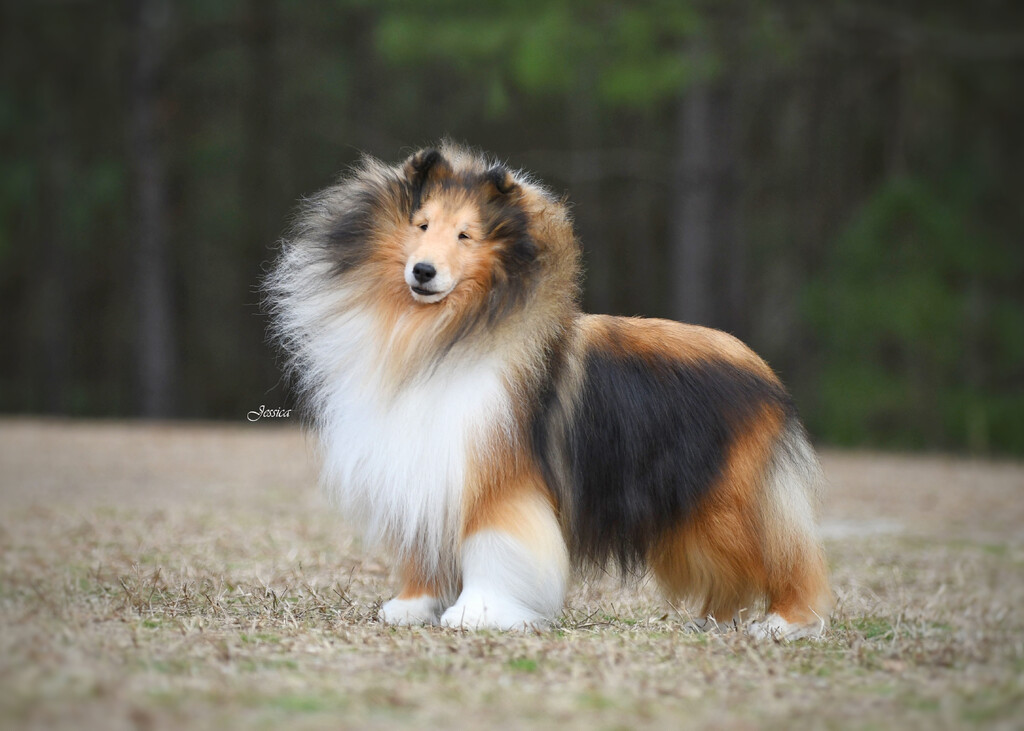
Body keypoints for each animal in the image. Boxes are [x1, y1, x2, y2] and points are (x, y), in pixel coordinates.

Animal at [266, 141, 832, 638]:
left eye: (466, 236)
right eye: (421, 225)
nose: (422, 271)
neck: (440, 335)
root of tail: (764, 371)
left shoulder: (498, 476)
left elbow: (495, 545)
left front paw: (478, 613)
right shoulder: (428, 468)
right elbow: (424, 543)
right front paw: (411, 605)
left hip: (730, 503)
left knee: (788, 557)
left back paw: (787, 623)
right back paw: (710, 621)